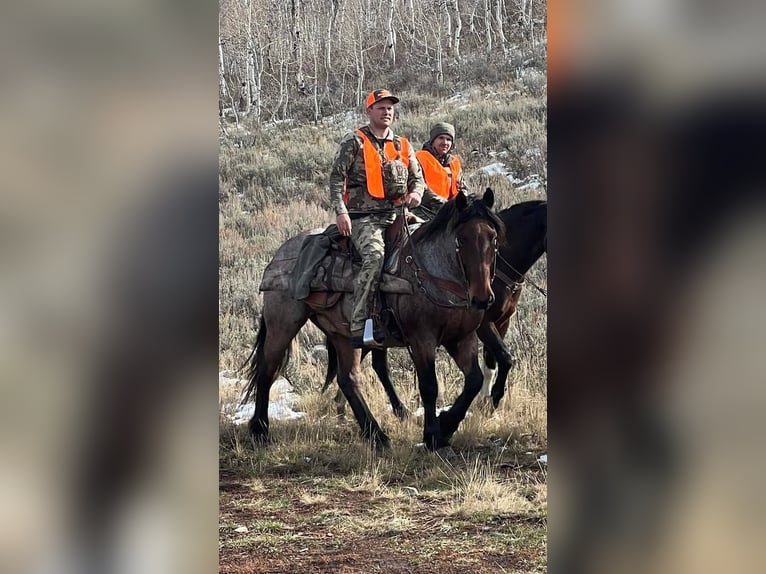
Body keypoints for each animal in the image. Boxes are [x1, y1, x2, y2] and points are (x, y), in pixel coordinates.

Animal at [244, 191, 504, 452]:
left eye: (492, 237)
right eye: (462, 238)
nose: (482, 298)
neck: (433, 274)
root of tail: (280, 254)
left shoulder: (462, 337)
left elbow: (474, 381)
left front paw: (447, 425)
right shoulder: (422, 340)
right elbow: (429, 386)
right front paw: (432, 435)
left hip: (343, 335)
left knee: (347, 379)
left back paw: (376, 434)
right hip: (283, 324)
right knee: (267, 370)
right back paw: (260, 430)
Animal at [322, 200, 544, 416]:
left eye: (494, 238)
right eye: (462, 240)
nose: (482, 298)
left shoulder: (502, 321)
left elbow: (495, 362)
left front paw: (486, 401)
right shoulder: (483, 325)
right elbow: (504, 358)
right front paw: (492, 399)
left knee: (376, 364)